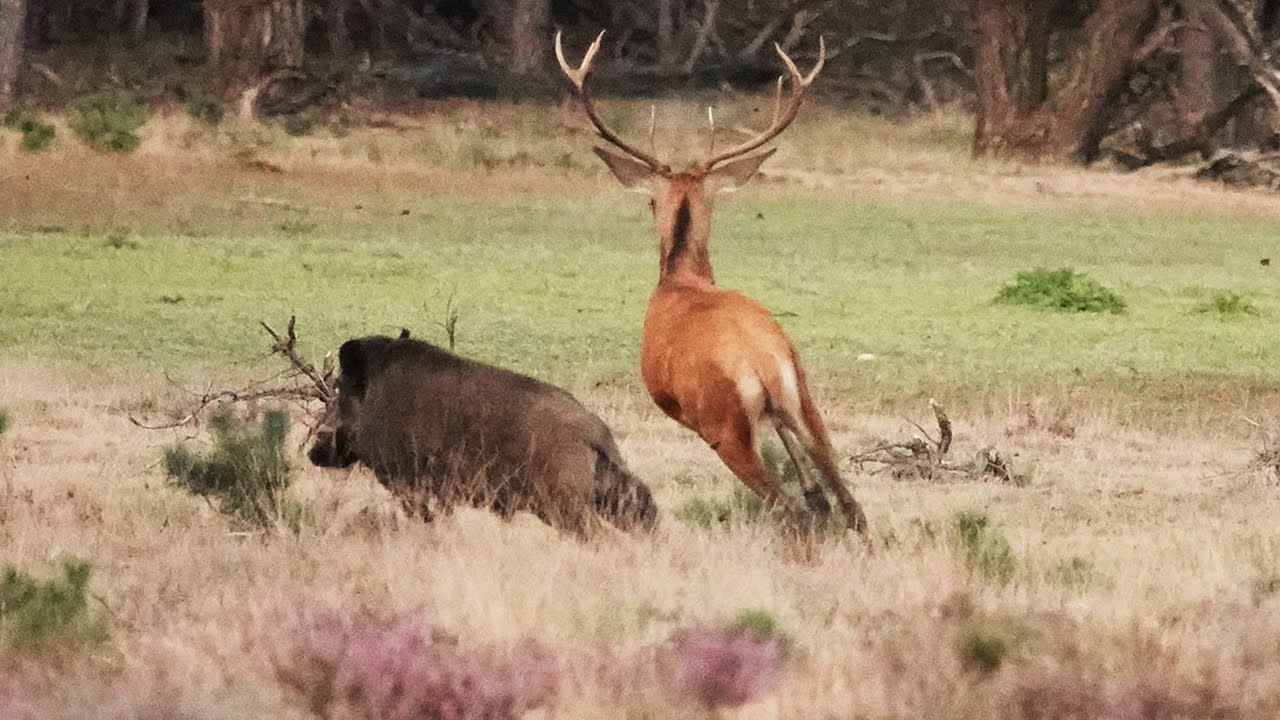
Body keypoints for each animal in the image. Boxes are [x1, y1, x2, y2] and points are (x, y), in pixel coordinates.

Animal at [308, 332, 657, 536]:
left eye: (340, 388)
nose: (315, 451)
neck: (377, 396)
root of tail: (594, 433)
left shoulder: (410, 486)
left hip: (564, 509)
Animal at [555, 31, 868, 534]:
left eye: (649, 201)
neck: (682, 280)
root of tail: (759, 361)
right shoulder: (783, 412)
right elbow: (817, 492)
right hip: (802, 396)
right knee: (849, 502)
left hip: (723, 427)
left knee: (788, 509)